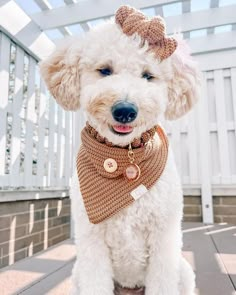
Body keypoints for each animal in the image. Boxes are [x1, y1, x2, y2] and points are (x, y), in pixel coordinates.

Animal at [39, 5, 200, 295]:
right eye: (105, 70)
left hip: (183, 272)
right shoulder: (91, 241)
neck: (125, 159)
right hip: (77, 274)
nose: (125, 110)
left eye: (148, 76)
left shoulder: (164, 237)